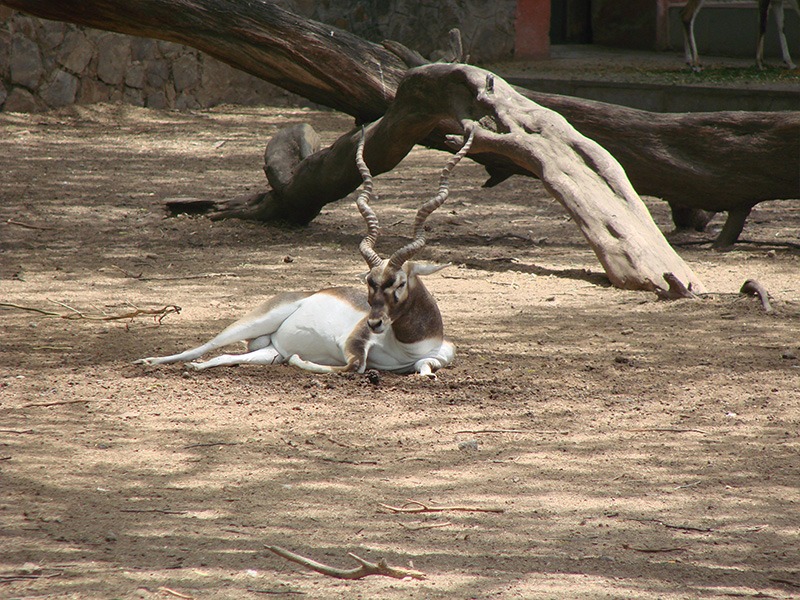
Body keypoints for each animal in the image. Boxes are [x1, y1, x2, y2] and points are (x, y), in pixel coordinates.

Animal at [137, 126, 476, 378]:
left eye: (400, 283)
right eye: (369, 281)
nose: (375, 323)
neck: (409, 345)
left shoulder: (436, 356)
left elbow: (424, 368)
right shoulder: (354, 343)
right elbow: (353, 366)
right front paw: (302, 361)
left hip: (268, 349)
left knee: (229, 356)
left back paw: (197, 367)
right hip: (257, 320)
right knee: (205, 345)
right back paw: (149, 361)